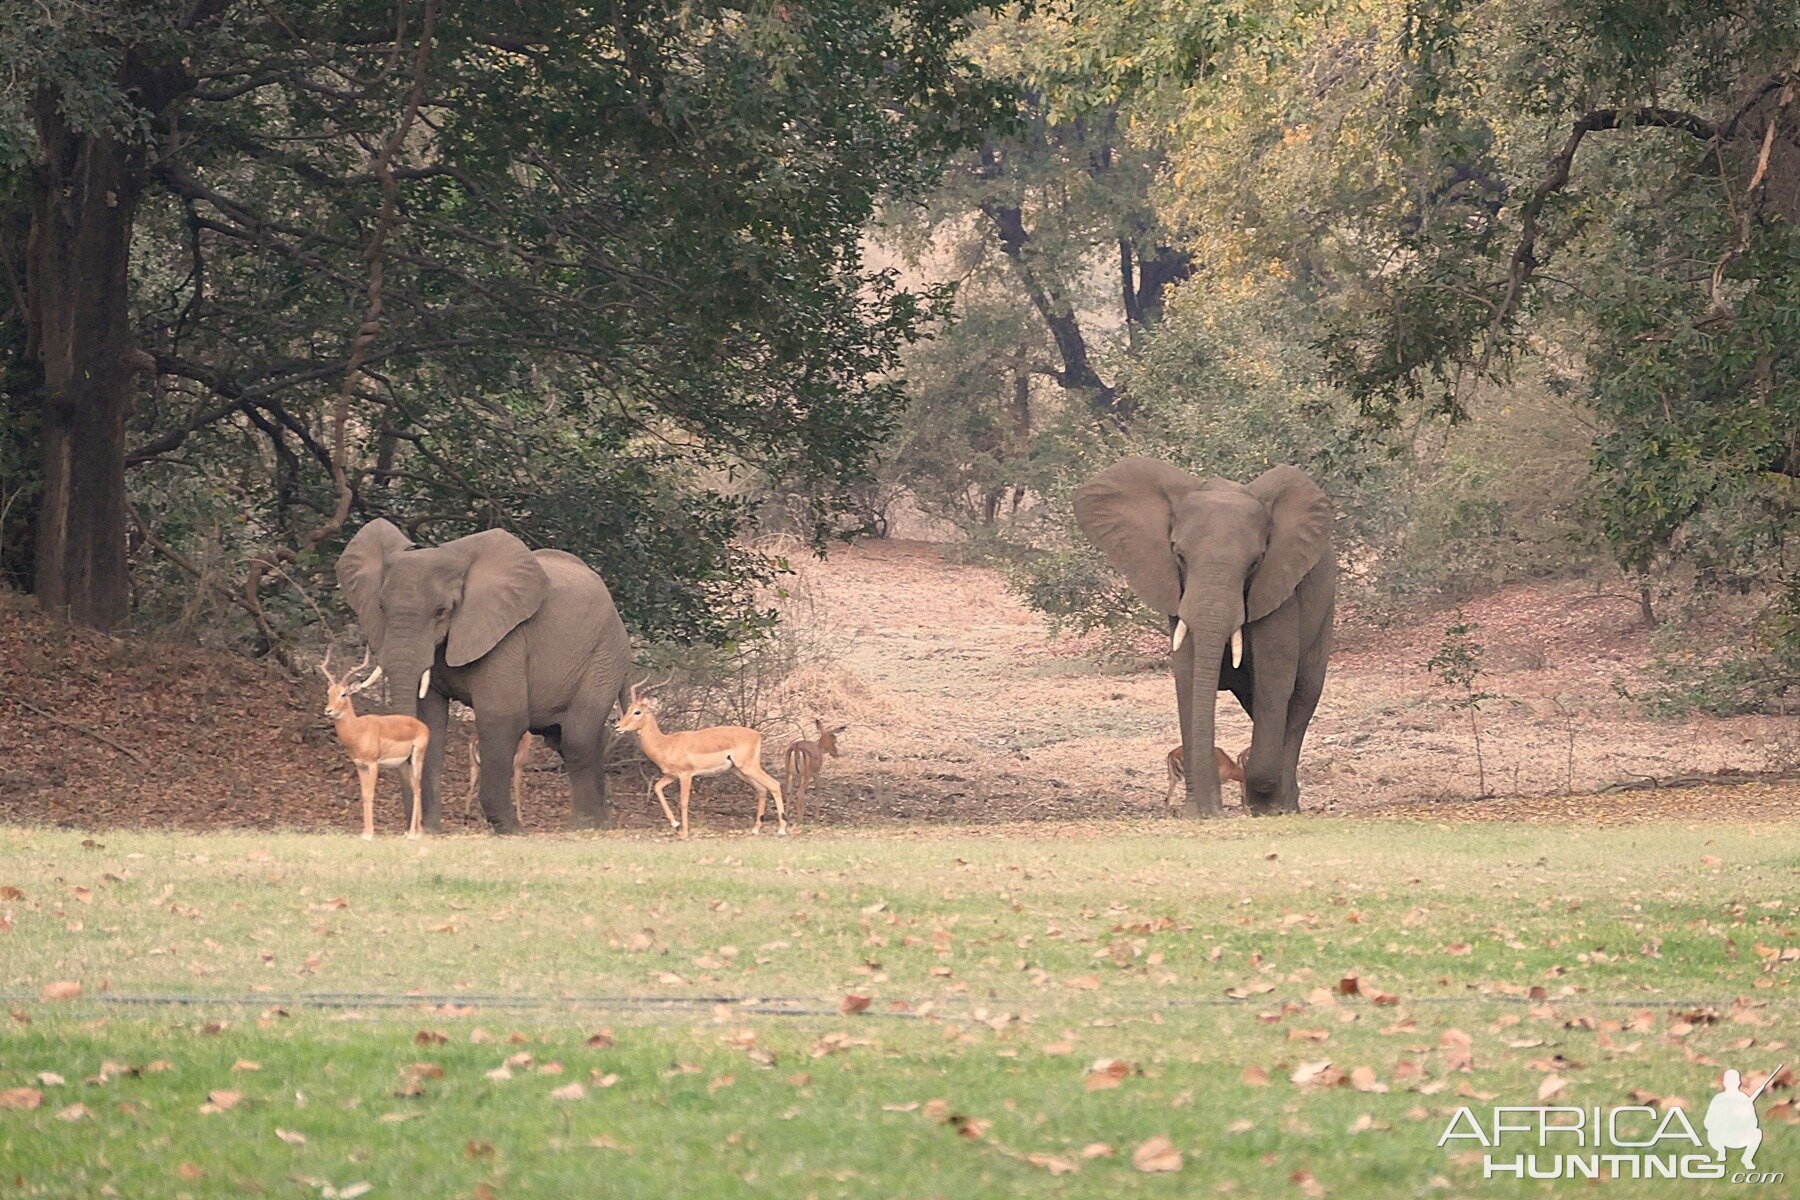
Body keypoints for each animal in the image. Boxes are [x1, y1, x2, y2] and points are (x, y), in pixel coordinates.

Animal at [334, 521, 637, 841]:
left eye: (442, 611)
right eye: (381, 608)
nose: (415, 829)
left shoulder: (506, 636)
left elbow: (501, 717)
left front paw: (512, 831)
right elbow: (430, 721)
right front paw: (430, 830)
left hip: (606, 654)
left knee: (577, 738)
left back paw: (583, 825)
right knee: (570, 739)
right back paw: (603, 823)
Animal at [1065, 456, 1339, 816]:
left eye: (1256, 562)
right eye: (1178, 555)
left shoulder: (1280, 586)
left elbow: (1275, 681)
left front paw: (1257, 804)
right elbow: (1188, 676)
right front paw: (1202, 813)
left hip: (1324, 614)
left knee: (1301, 696)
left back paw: (1283, 805)